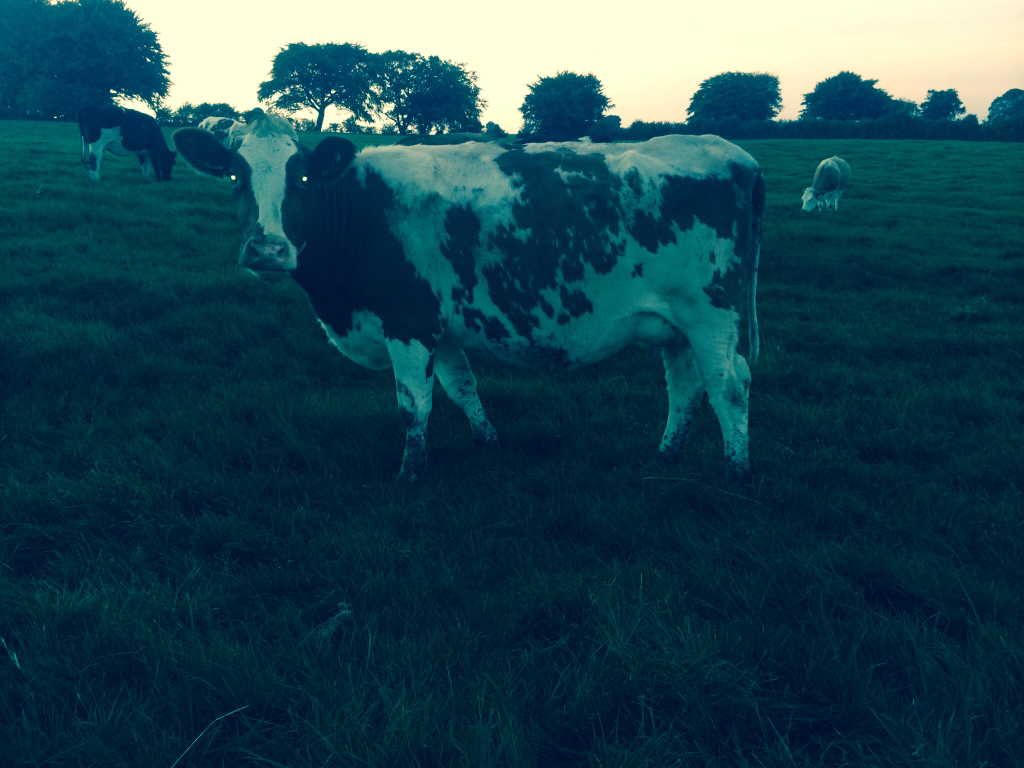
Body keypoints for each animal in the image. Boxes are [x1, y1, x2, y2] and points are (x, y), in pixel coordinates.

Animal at [173, 115, 765, 481]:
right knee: (685, 388)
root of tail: (733, 153)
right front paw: (488, 443)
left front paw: (410, 473)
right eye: (235, 175)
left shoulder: (407, 322)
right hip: (676, 324)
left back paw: (737, 471)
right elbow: (461, 388)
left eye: (300, 178)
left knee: (729, 387)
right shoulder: (439, 326)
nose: (267, 249)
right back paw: (666, 456)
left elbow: (414, 404)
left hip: (711, 313)